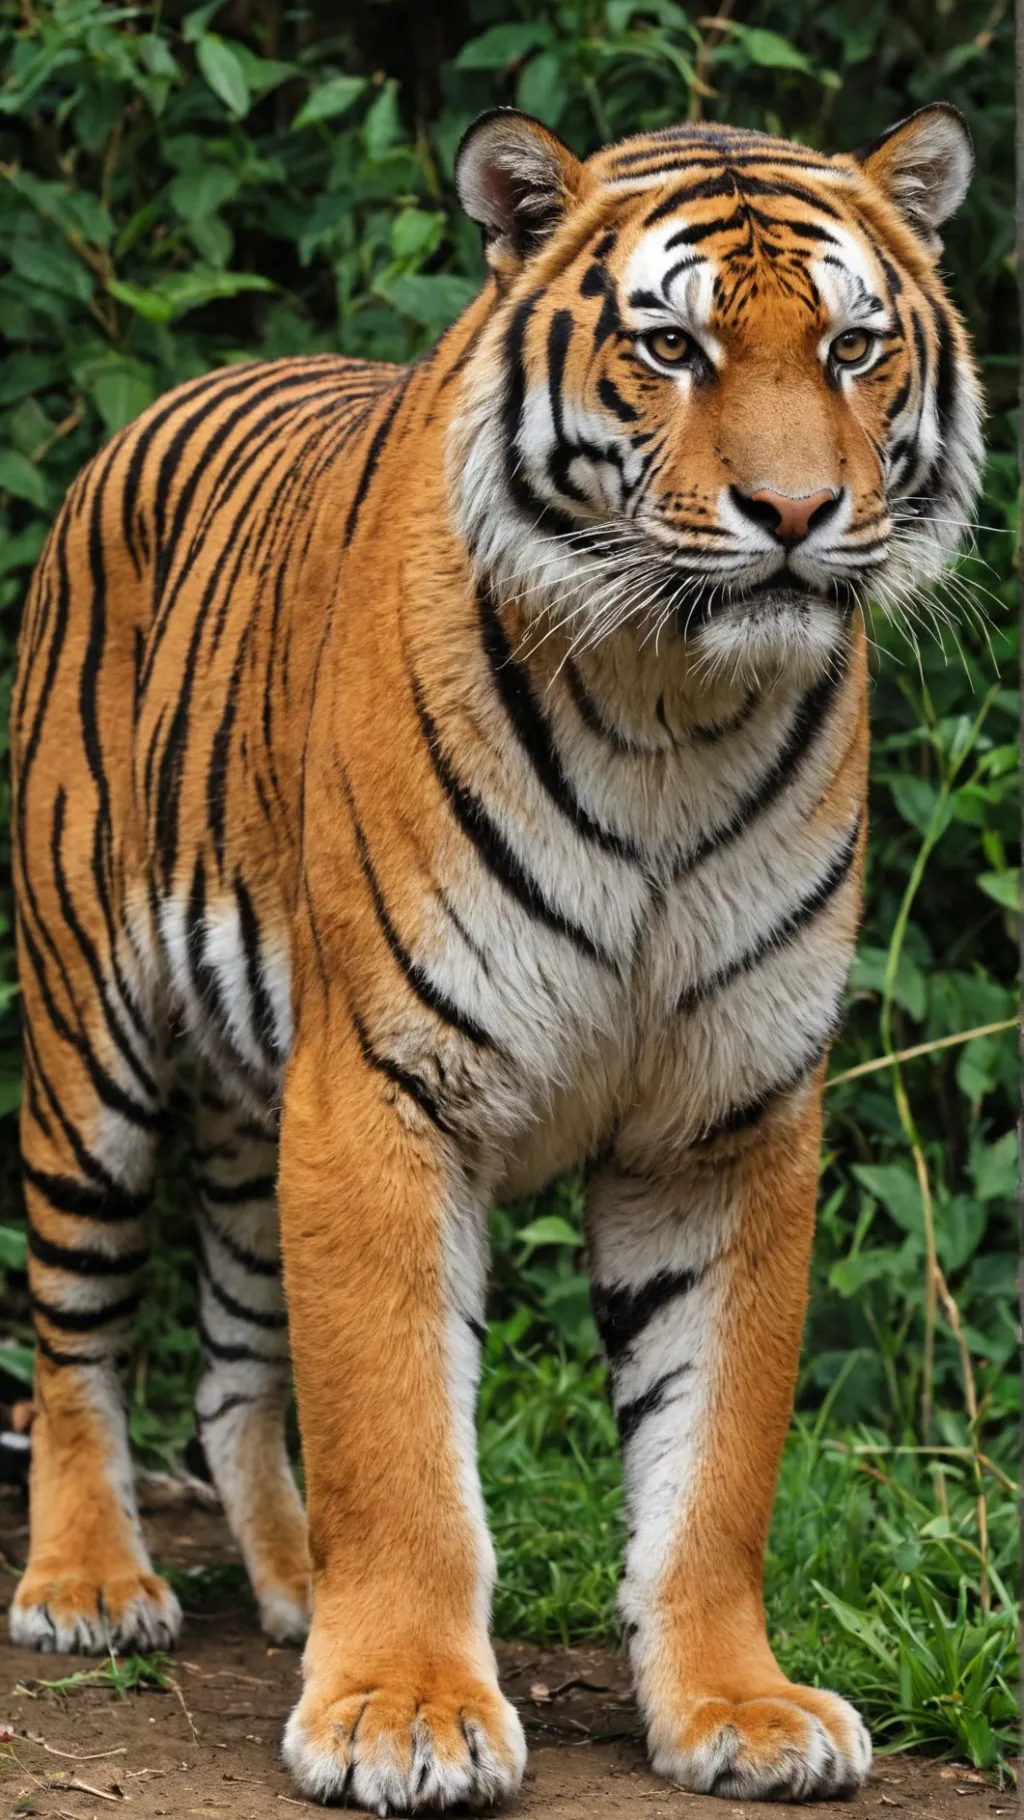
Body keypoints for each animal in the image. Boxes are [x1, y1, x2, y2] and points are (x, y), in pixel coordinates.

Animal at [9, 101, 981, 1810]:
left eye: (856, 347)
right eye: (670, 347)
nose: (796, 517)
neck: (677, 713)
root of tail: (151, 413)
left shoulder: (729, 1118)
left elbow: (715, 1457)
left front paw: (741, 1708)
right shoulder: (384, 1087)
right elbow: (398, 1435)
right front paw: (401, 1710)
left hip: (253, 1104)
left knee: (238, 1363)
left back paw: (293, 1583)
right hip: (89, 1047)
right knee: (77, 1328)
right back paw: (88, 1584)